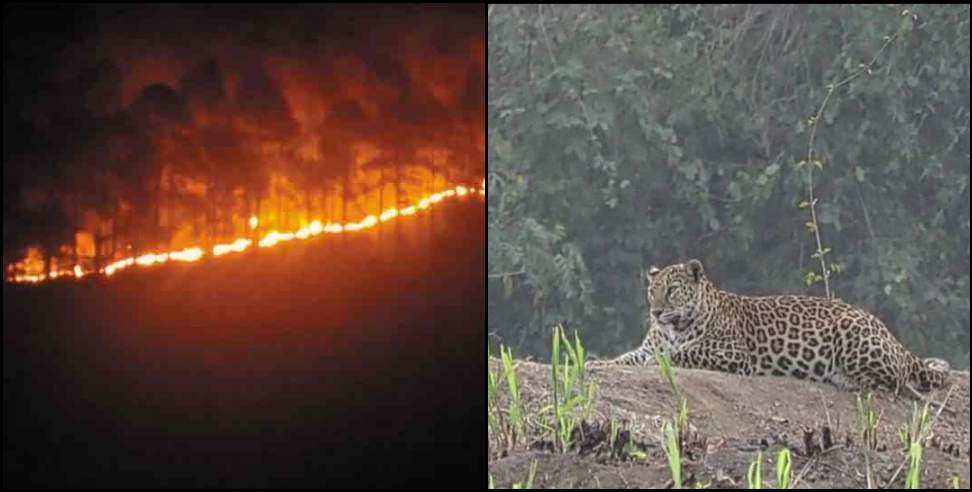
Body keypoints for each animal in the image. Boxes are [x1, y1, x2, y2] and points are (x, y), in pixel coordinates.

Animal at [584, 258, 948, 396]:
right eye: (652, 291)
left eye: (672, 290)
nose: (656, 311)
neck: (674, 327)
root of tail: (896, 340)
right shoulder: (648, 345)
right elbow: (626, 358)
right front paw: (596, 362)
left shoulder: (731, 353)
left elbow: (685, 354)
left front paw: (659, 361)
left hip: (853, 332)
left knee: (897, 382)